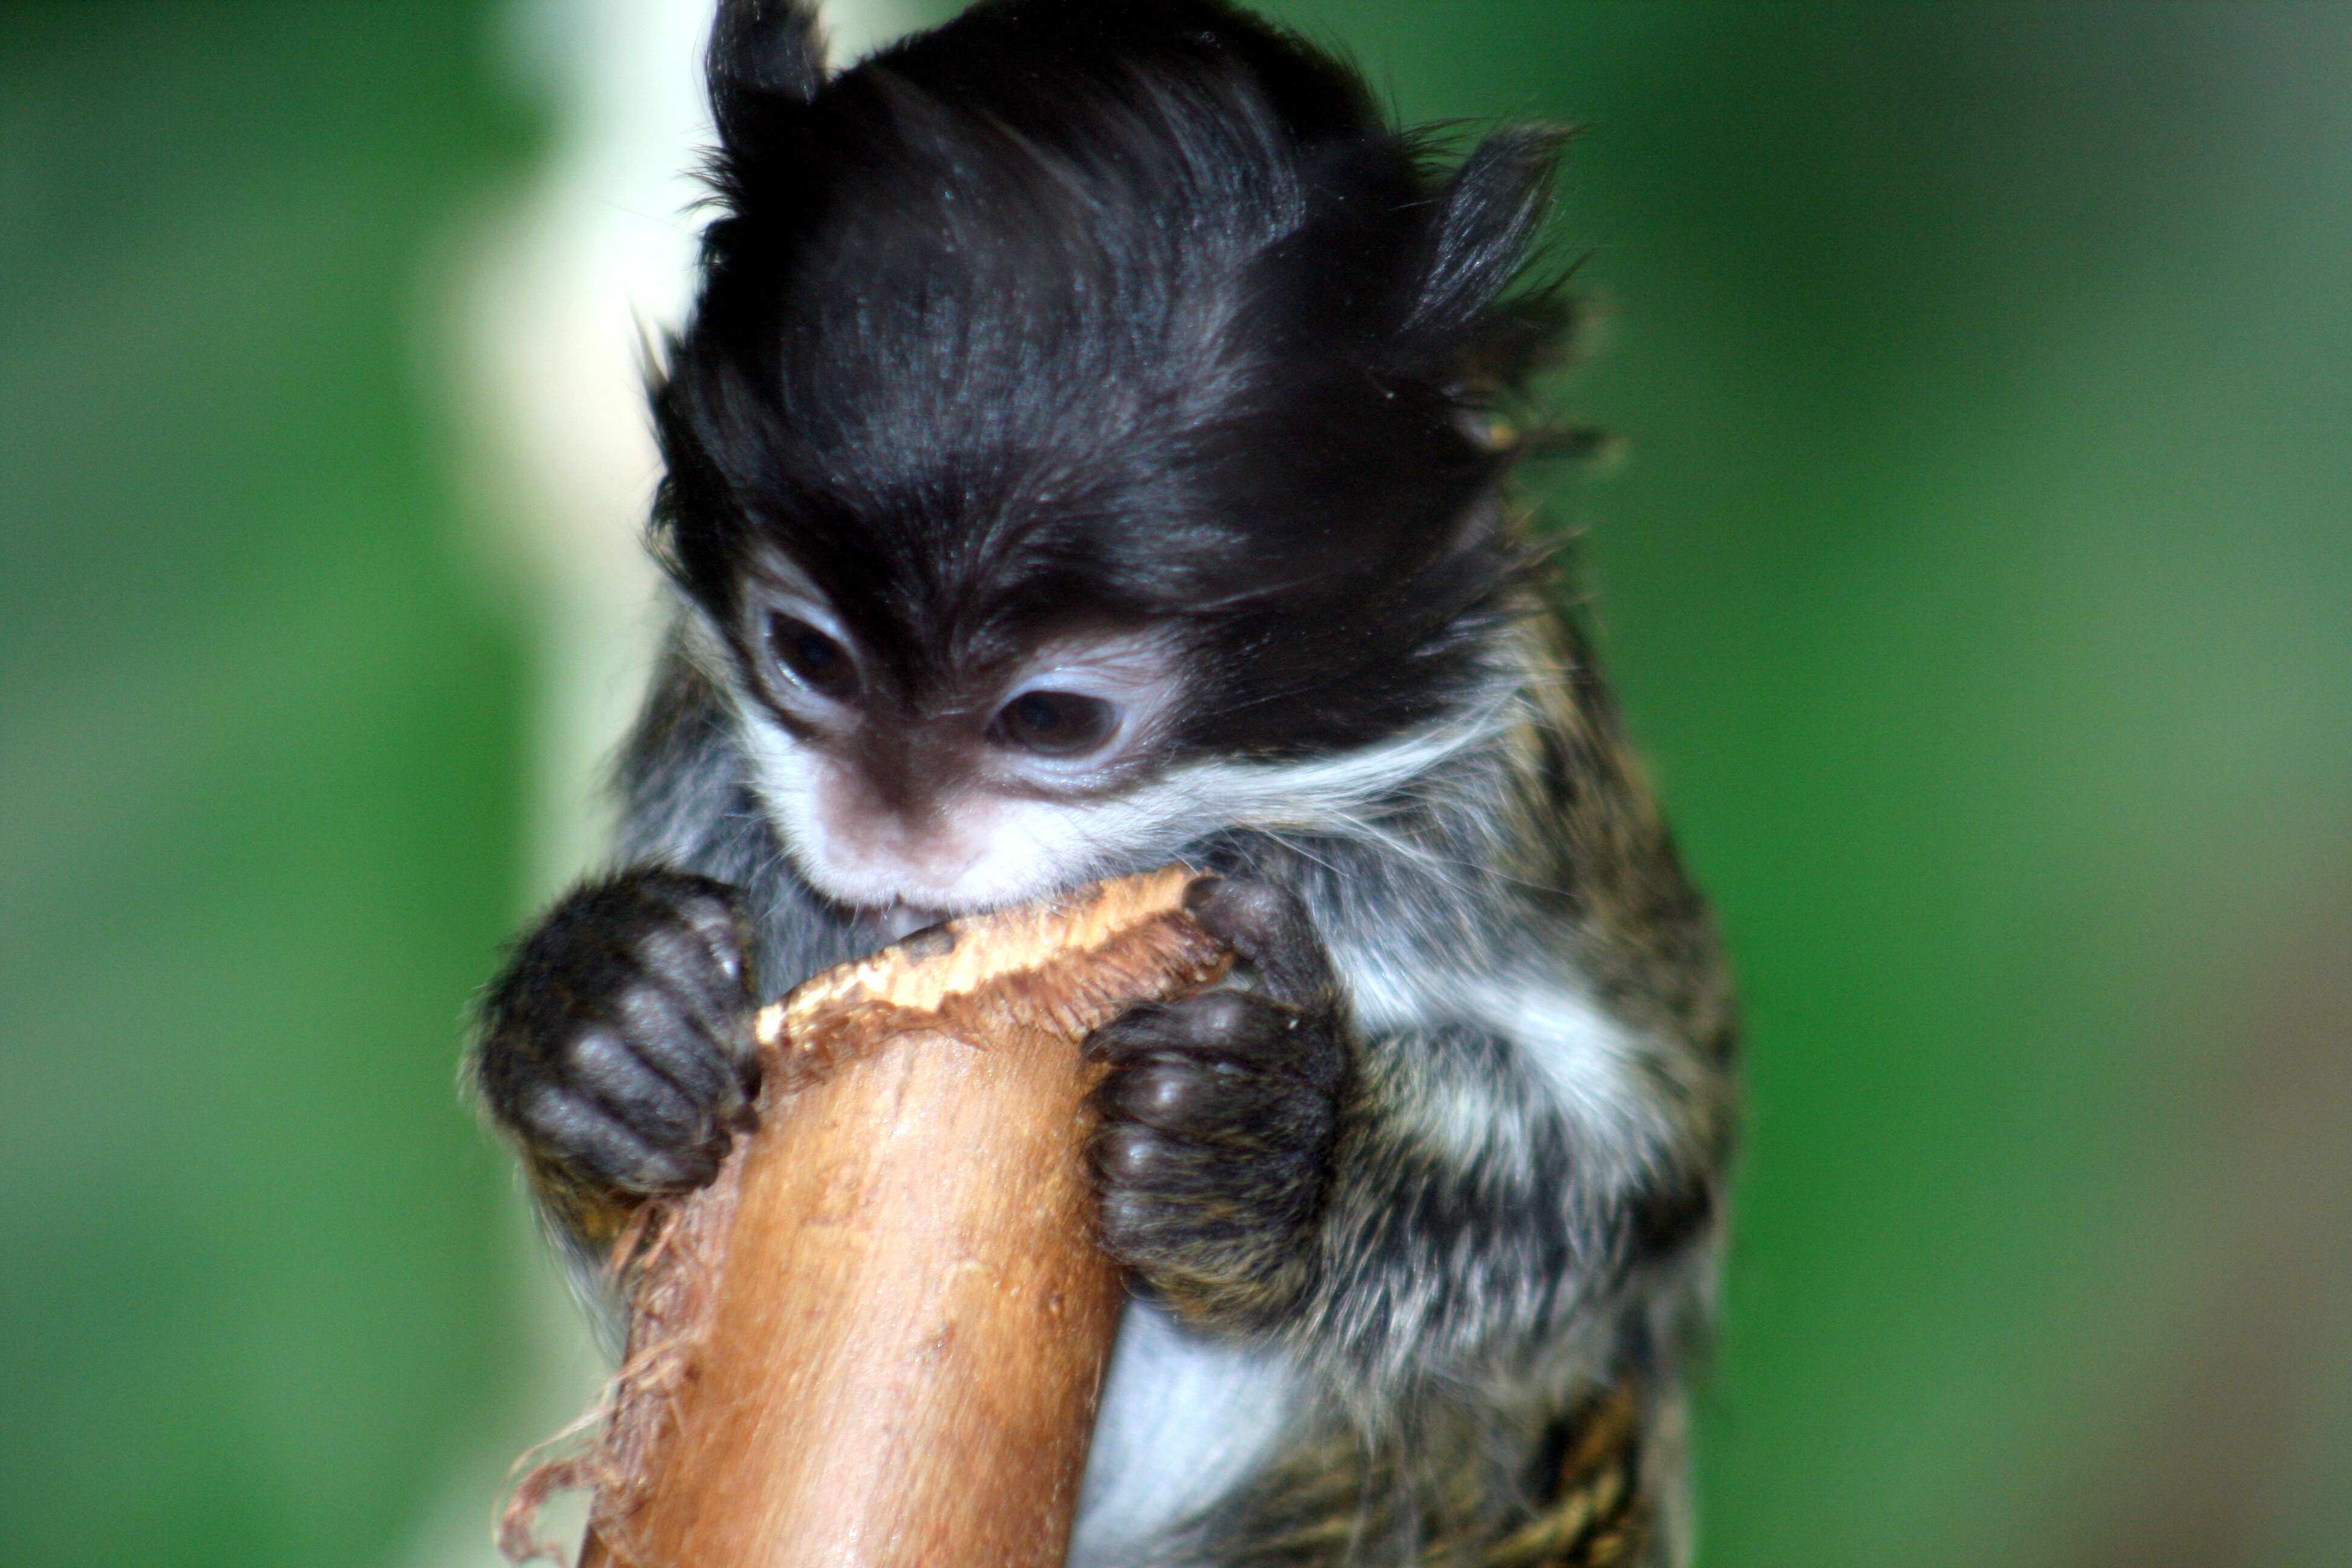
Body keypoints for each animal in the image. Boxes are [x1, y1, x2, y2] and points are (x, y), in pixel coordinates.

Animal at [472, 0, 1731, 1561]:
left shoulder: (1512, 805)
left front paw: (1284, 1163)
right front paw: (599, 1029)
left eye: (1056, 719)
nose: (885, 827)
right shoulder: (697, 754)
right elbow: (652, 1312)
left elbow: (1630, 1198)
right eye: (805, 654)